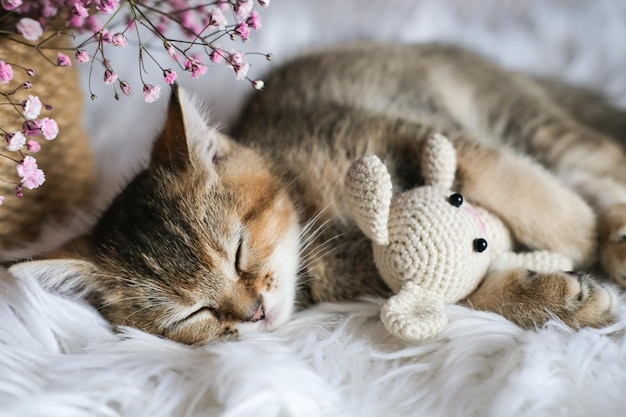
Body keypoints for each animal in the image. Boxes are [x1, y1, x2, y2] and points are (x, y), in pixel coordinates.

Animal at [11, 42, 624, 342]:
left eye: (239, 250)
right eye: (193, 315)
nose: (254, 313)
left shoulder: (401, 130)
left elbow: (501, 175)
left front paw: (573, 231)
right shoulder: (377, 279)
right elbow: (462, 290)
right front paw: (553, 299)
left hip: (523, 118)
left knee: (598, 159)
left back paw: (606, 231)